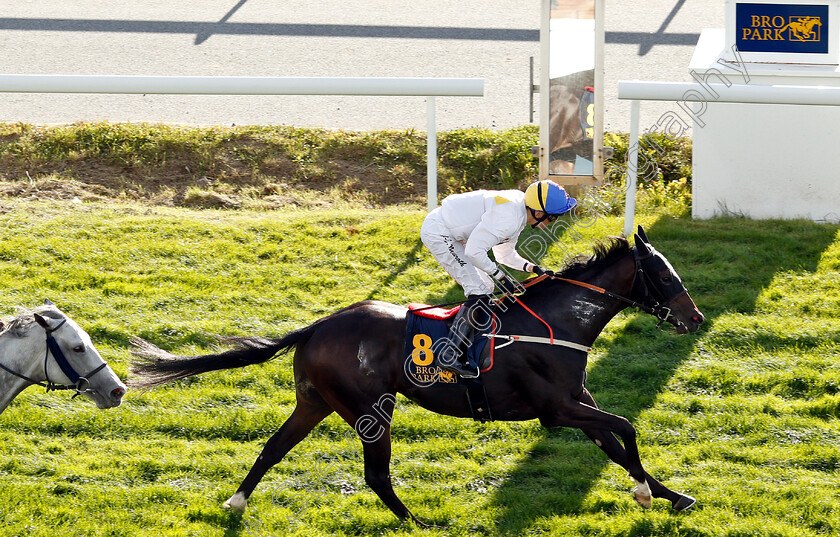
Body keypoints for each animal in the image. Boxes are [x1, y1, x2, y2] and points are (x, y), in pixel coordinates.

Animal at [130, 225, 704, 524]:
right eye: (663, 274)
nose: (696, 317)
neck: (557, 324)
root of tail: (317, 326)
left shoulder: (575, 406)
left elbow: (616, 444)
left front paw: (671, 495)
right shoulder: (557, 410)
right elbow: (627, 427)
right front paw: (647, 494)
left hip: (315, 402)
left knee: (274, 446)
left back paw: (237, 500)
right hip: (369, 410)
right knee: (375, 475)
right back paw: (416, 522)